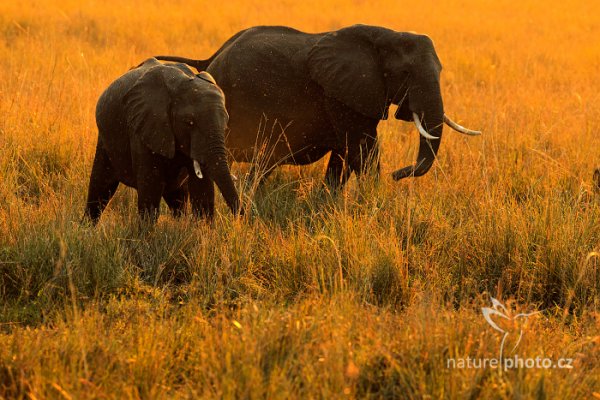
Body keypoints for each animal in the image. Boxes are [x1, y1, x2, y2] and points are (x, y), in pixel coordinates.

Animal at [84, 57, 241, 223]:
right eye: (189, 122)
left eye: (226, 125)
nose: (240, 219)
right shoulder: (143, 126)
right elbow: (151, 186)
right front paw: (146, 230)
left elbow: (202, 190)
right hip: (105, 138)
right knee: (100, 185)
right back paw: (87, 226)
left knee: (177, 197)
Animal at [157, 24, 480, 188]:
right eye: (404, 73)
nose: (397, 174)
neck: (385, 35)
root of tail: (211, 58)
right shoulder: (339, 93)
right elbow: (361, 149)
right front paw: (375, 197)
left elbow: (343, 153)